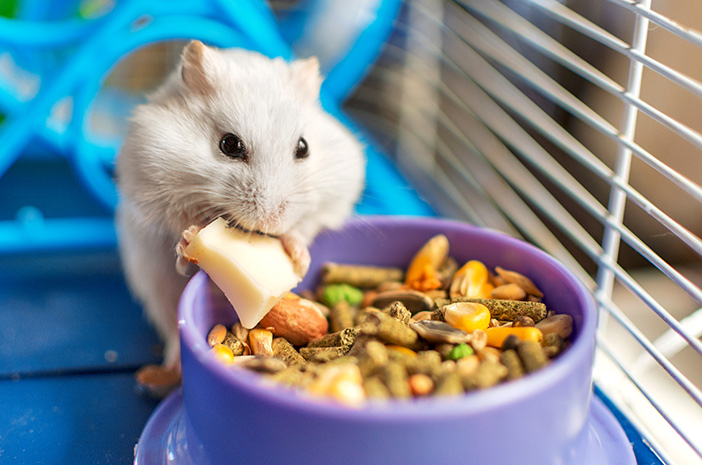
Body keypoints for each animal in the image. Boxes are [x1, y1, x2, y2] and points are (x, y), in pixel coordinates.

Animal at [115, 40, 366, 386]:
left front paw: (299, 259)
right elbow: (178, 223)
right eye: (229, 145)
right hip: (154, 284)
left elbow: (303, 228)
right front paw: (190, 238)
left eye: (303, 147)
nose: (270, 222)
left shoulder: (334, 197)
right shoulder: (151, 187)